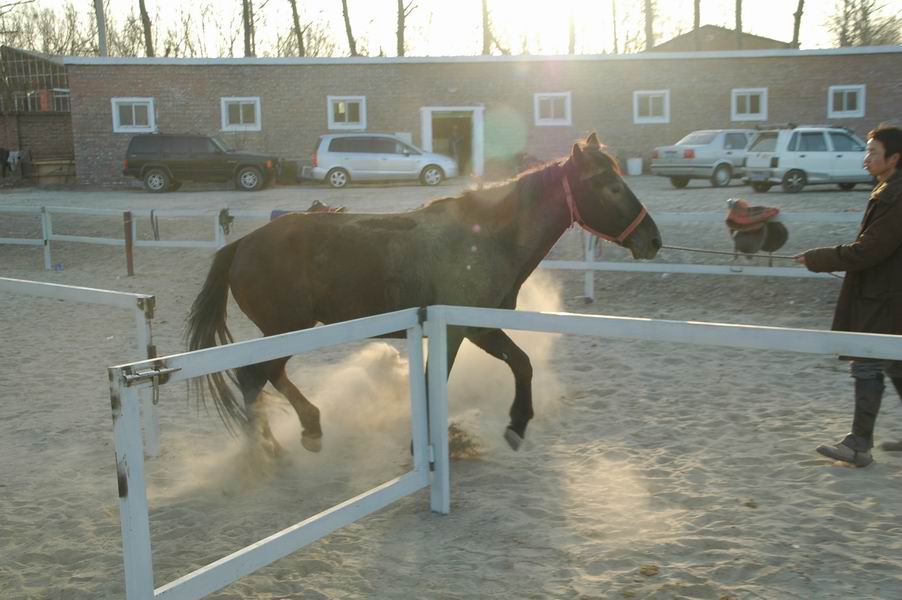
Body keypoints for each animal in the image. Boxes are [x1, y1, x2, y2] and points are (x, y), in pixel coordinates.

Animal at [185, 135, 664, 454]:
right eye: (611, 186)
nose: (652, 239)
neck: (482, 238)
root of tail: (241, 245)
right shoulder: (457, 332)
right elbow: (443, 382)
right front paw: (424, 447)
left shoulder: (480, 330)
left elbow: (523, 364)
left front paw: (517, 425)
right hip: (286, 329)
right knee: (253, 377)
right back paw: (272, 450)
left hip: (287, 331)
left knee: (265, 376)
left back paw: (303, 431)